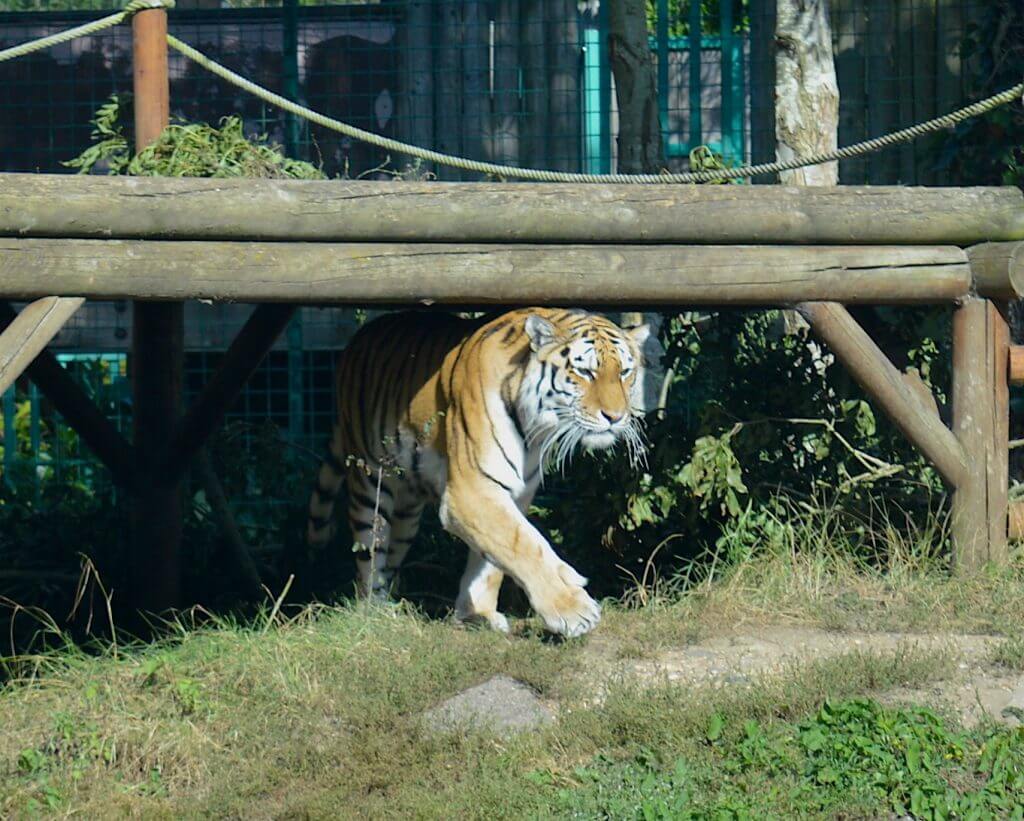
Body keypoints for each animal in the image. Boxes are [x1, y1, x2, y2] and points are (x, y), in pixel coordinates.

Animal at [306, 307, 654, 638]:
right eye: (585, 371)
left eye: (625, 372)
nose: (616, 416)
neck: (535, 430)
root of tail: (360, 335)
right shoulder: (470, 492)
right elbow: (524, 545)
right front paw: (572, 610)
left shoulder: (513, 494)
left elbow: (493, 560)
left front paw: (478, 614)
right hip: (371, 483)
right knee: (370, 554)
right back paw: (375, 609)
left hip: (407, 509)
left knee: (393, 552)